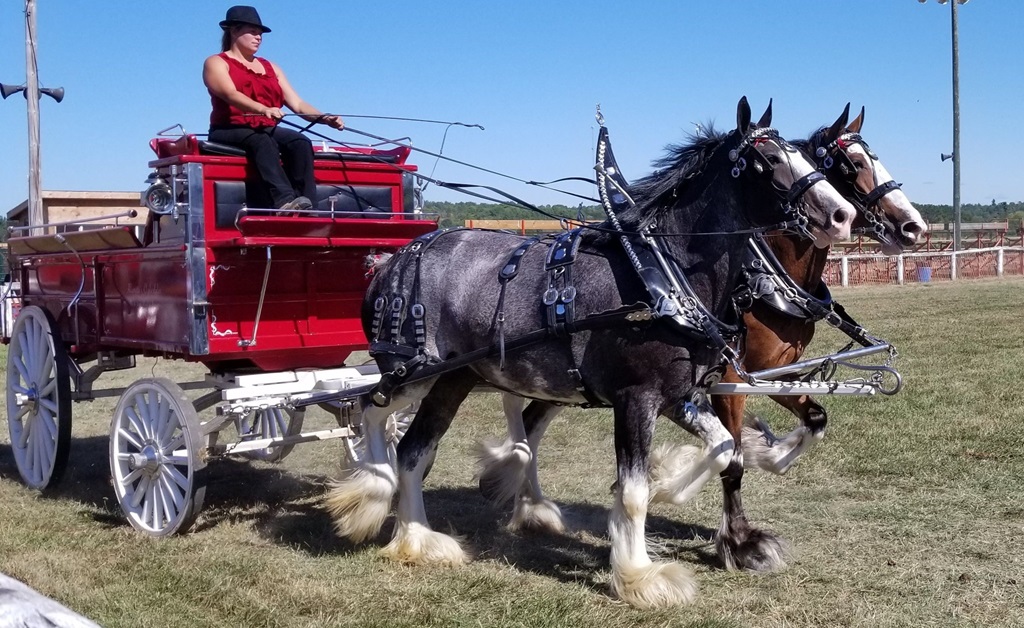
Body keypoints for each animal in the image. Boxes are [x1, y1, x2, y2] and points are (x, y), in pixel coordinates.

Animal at [324, 97, 855, 608]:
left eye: (809, 158)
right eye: (769, 159)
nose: (843, 215)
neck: (662, 275)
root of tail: (392, 260)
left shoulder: (680, 396)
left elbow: (727, 450)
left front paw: (677, 488)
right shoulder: (636, 399)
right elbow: (636, 493)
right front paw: (640, 576)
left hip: (455, 379)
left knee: (414, 451)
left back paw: (416, 539)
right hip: (414, 373)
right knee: (370, 409)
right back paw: (372, 489)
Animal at [475, 104, 926, 574]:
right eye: (852, 164)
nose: (915, 228)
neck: (764, 279)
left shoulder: (774, 373)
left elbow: (813, 419)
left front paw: (764, 452)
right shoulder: (731, 381)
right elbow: (733, 461)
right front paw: (738, 539)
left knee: (532, 421)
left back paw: (517, 494)